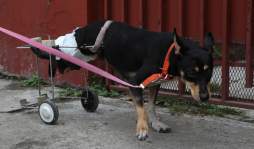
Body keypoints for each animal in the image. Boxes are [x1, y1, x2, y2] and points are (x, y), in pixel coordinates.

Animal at [31, 20, 214, 141]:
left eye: (209, 73)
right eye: (192, 72)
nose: (205, 97)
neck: (168, 54)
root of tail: (88, 27)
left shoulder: (154, 84)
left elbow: (151, 106)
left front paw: (155, 123)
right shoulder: (136, 82)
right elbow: (141, 107)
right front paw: (142, 128)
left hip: (81, 57)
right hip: (76, 51)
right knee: (57, 51)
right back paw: (41, 49)